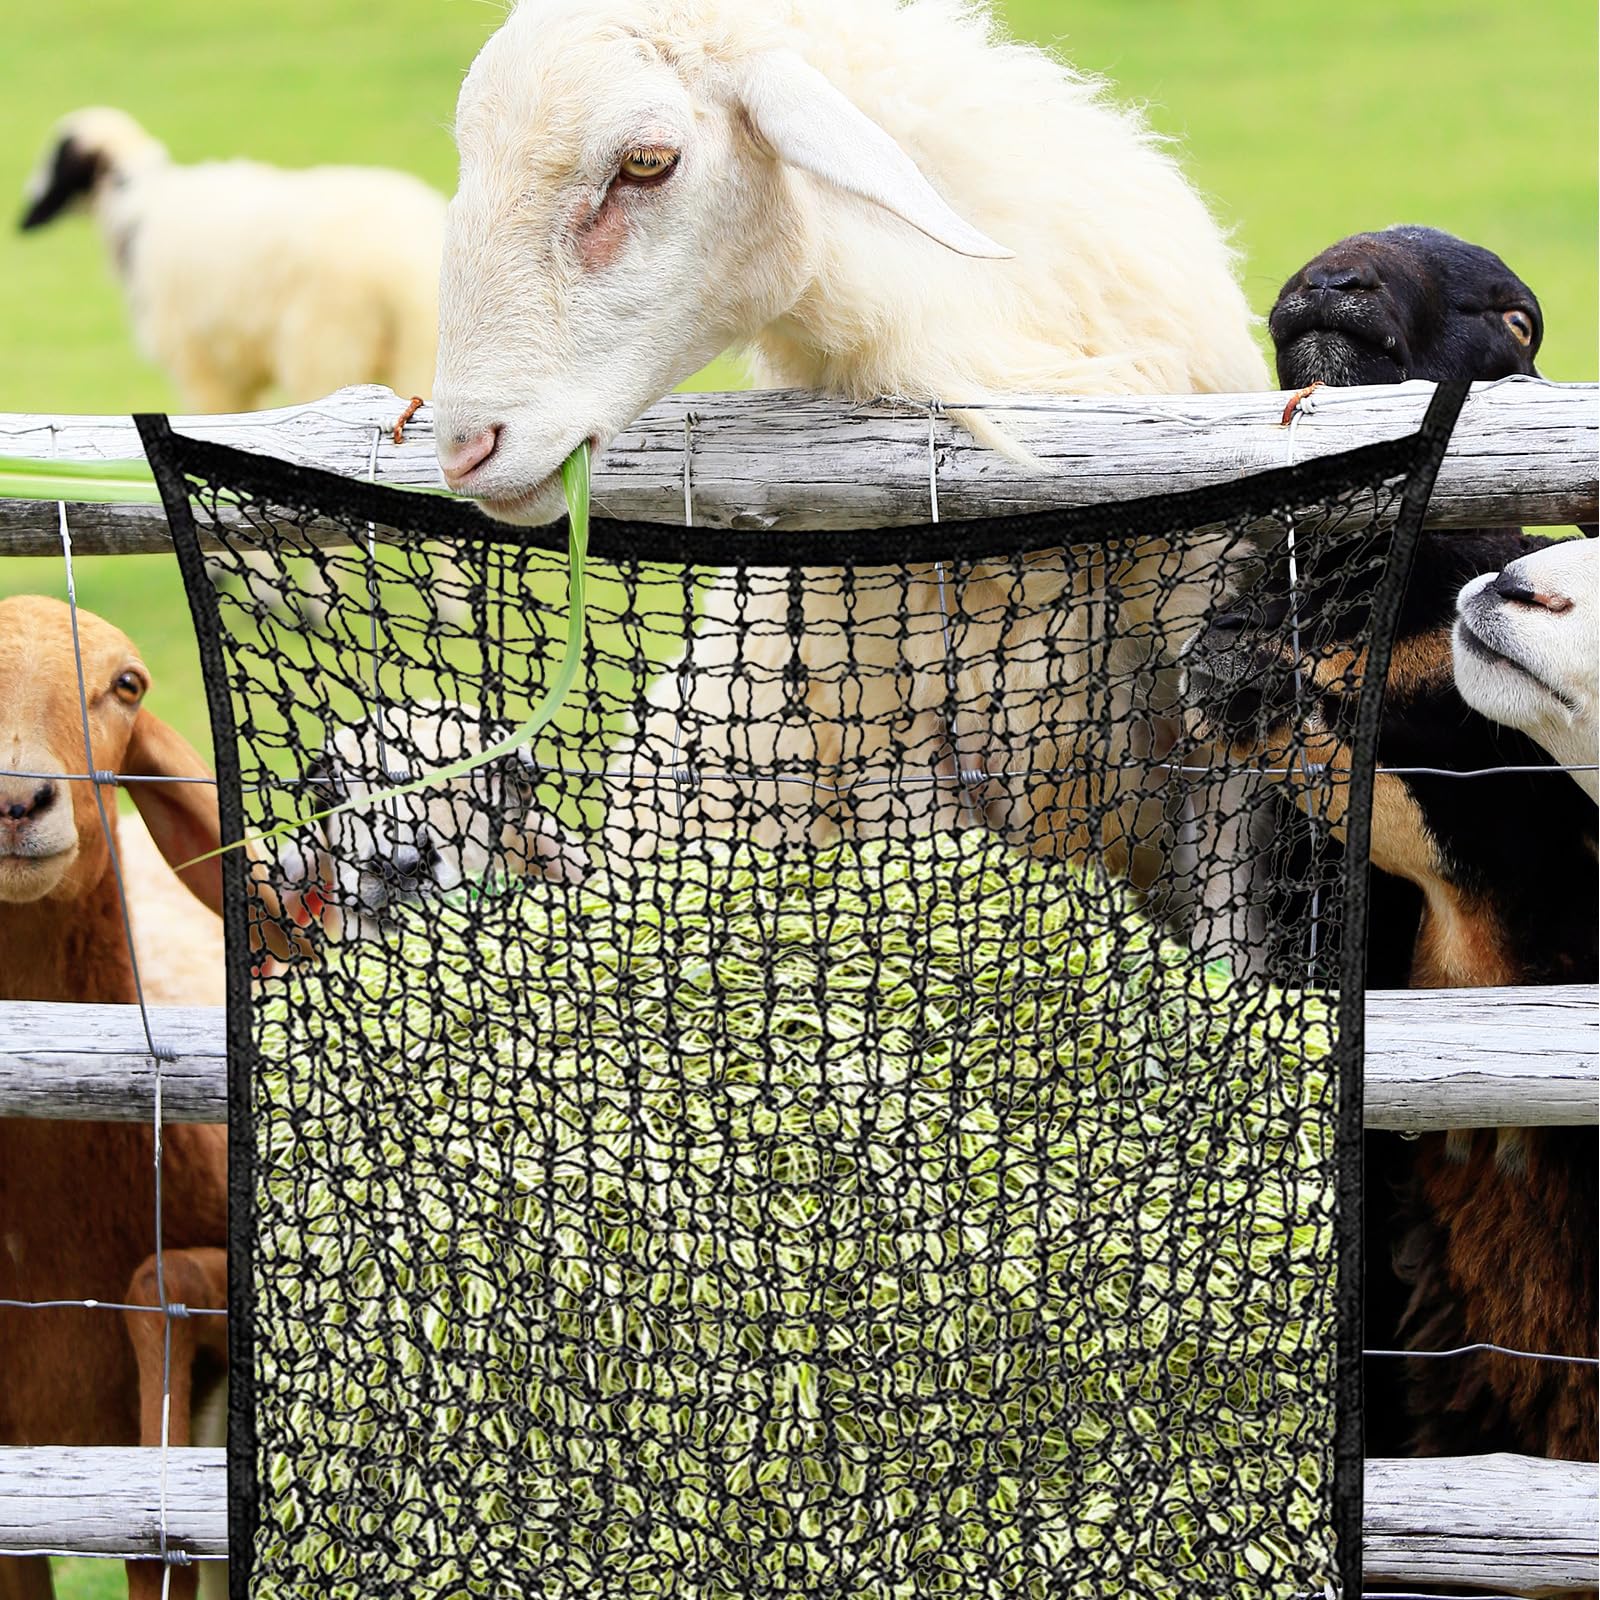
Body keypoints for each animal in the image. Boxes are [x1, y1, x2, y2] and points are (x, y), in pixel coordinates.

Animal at [19, 107, 445, 413]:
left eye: (55, 160)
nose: (25, 216)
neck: (136, 209)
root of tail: (403, 269)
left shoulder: (202, 367)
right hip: (416, 348)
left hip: (329, 350)